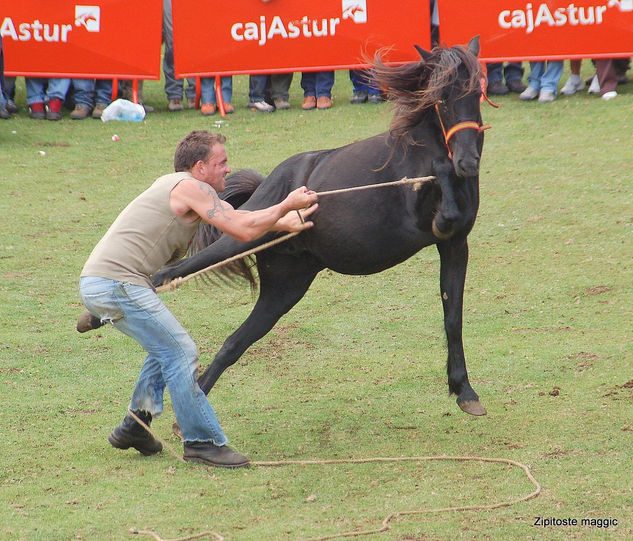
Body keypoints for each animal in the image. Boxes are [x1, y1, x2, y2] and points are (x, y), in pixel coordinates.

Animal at [86, 37, 488, 414]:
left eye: (477, 89)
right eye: (442, 96)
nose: (467, 161)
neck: (422, 151)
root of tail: (270, 183)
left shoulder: (455, 244)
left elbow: (453, 316)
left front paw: (464, 391)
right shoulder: (424, 220)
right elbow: (442, 202)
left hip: (284, 287)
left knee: (234, 343)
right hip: (241, 244)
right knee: (171, 271)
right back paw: (95, 317)